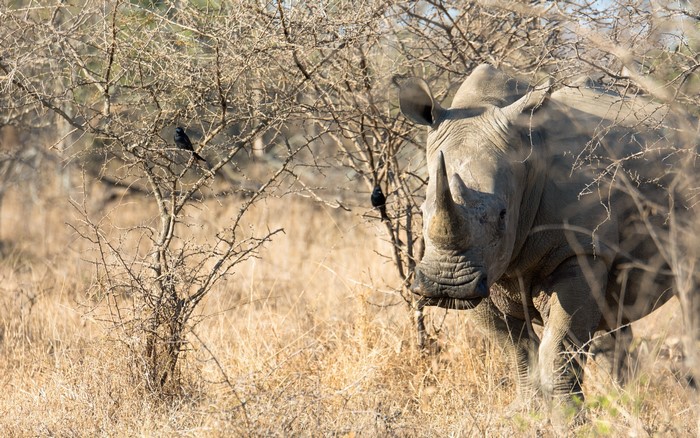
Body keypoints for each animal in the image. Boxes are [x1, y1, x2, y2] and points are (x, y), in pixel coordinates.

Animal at [399, 64, 697, 410]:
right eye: (422, 211)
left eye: (503, 214)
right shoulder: (482, 273)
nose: (446, 285)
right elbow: (514, 346)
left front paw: (567, 416)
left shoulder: (580, 250)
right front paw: (525, 411)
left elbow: (559, 346)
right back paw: (623, 401)